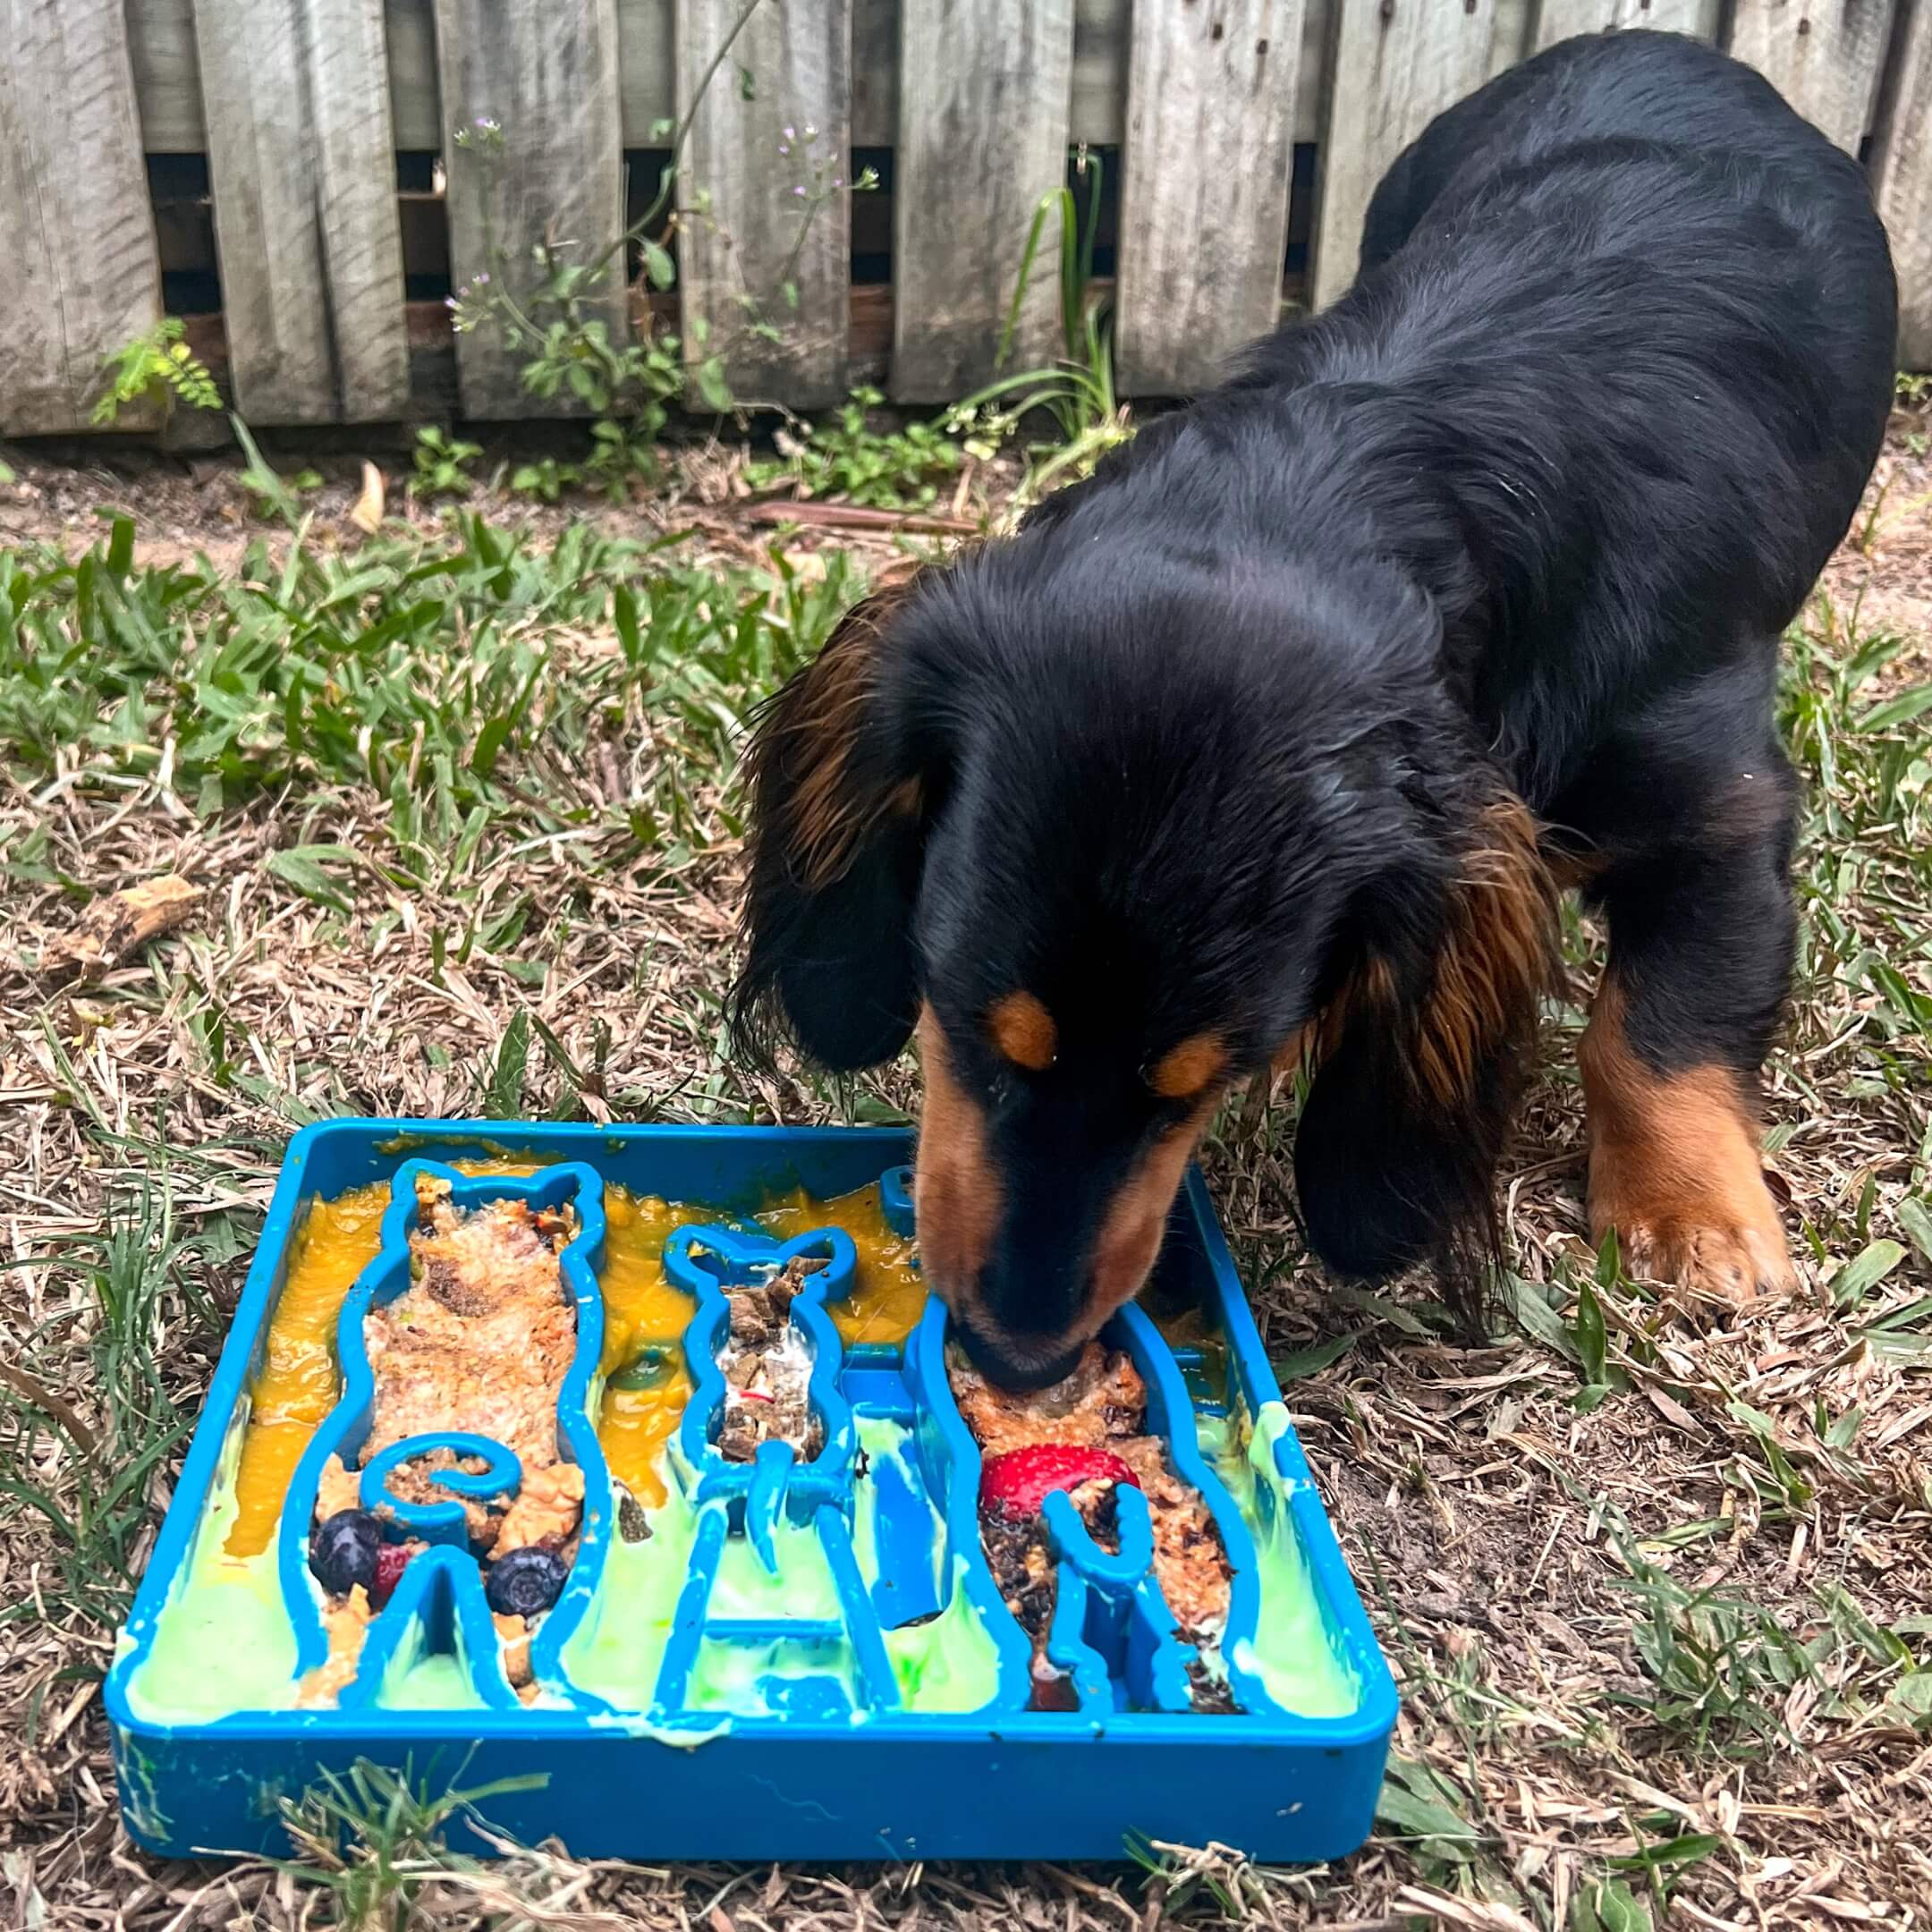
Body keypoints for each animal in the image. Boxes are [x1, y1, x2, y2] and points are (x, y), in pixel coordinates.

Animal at [730, 30, 1893, 1391]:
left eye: (1200, 1083)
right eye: (965, 1020)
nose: (1017, 1360)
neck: (1369, 458)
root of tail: (1662, 43)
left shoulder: (1717, 806)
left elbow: (1658, 1022)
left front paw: (1691, 1216)